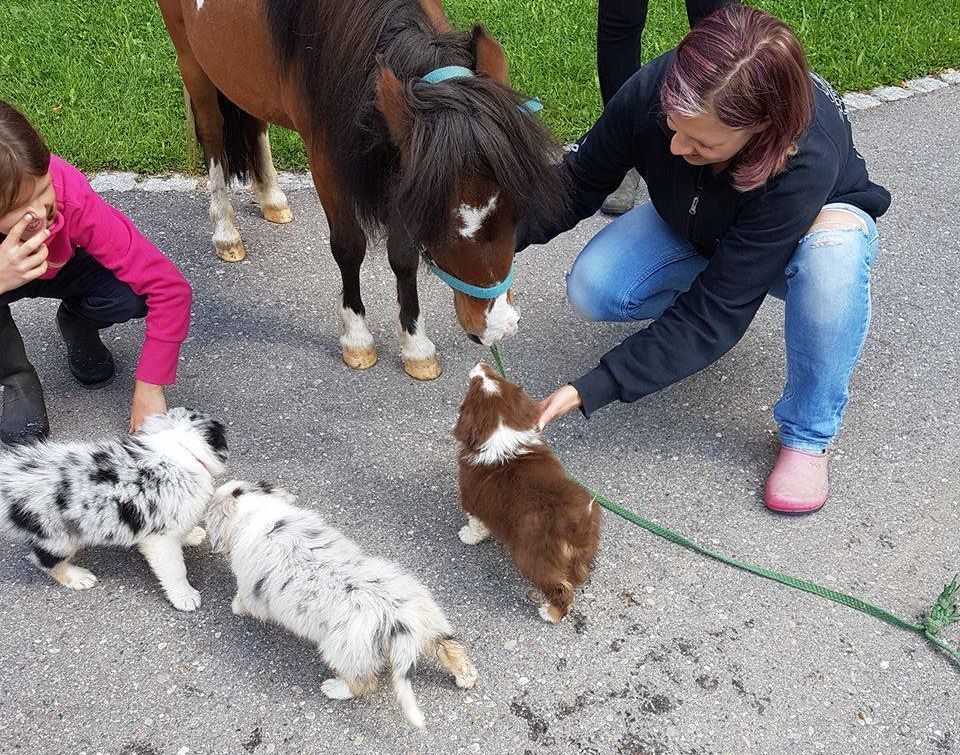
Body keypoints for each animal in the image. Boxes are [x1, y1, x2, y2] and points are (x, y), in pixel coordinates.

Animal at [157, 0, 565, 380]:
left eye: (518, 210)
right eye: (439, 222)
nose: (499, 328)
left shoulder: (403, 162)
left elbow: (403, 257)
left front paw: (415, 346)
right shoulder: (327, 164)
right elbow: (349, 248)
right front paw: (357, 339)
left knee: (255, 120)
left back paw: (271, 197)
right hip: (191, 59)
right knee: (212, 134)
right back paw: (226, 232)